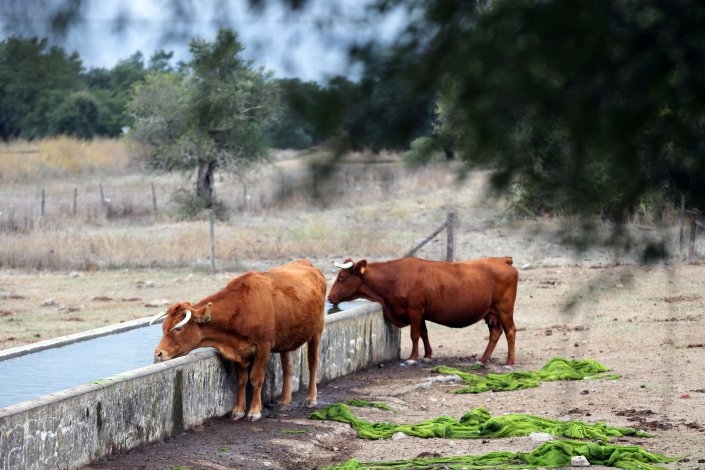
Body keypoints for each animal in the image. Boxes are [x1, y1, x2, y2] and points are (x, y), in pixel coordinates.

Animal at [150, 259, 326, 421]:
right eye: (163, 326)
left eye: (178, 329)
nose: (158, 353)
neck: (243, 308)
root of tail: (308, 264)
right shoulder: (239, 351)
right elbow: (242, 380)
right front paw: (238, 410)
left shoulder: (263, 347)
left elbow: (256, 378)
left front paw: (254, 411)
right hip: (287, 338)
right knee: (288, 368)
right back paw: (284, 401)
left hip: (317, 331)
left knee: (313, 363)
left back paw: (311, 398)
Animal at [328, 256, 518, 368]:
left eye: (342, 277)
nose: (329, 297)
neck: (394, 277)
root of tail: (502, 260)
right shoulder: (421, 313)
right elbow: (424, 333)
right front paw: (427, 355)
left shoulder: (415, 310)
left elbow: (414, 334)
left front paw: (413, 357)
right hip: (491, 312)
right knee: (495, 332)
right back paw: (482, 360)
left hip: (504, 309)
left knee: (510, 331)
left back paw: (509, 362)